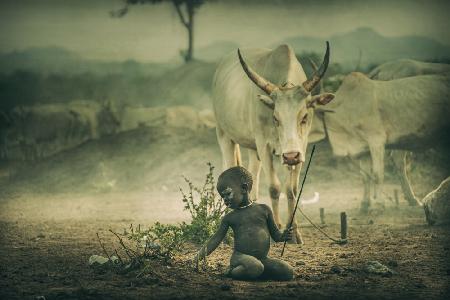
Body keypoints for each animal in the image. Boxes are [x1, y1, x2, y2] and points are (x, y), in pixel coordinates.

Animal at [212, 42, 334, 244]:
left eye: (304, 116)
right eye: (275, 118)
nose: (291, 156)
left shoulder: (300, 148)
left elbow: (291, 189)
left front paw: (294, 232)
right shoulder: (265, 146)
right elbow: (275, 188)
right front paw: (276, 226)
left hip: (254, 149)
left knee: (252, 175)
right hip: (224, 134)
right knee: (229, 167)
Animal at [320, 73, 450, 212]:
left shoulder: (376, 141)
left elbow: (377, 174)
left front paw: (379, 204)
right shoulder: (363, 149)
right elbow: (365, 176)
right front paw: (364, 205)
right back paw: (413, 200)